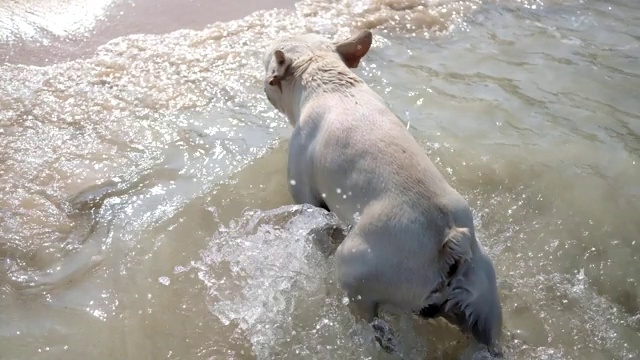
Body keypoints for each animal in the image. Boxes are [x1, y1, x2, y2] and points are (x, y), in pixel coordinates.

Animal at [262, 30, 502, 354]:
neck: (327, 80)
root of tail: (449, 241)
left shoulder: (306, 196)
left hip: (354, 271)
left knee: (372, 323)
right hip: (484, 299)